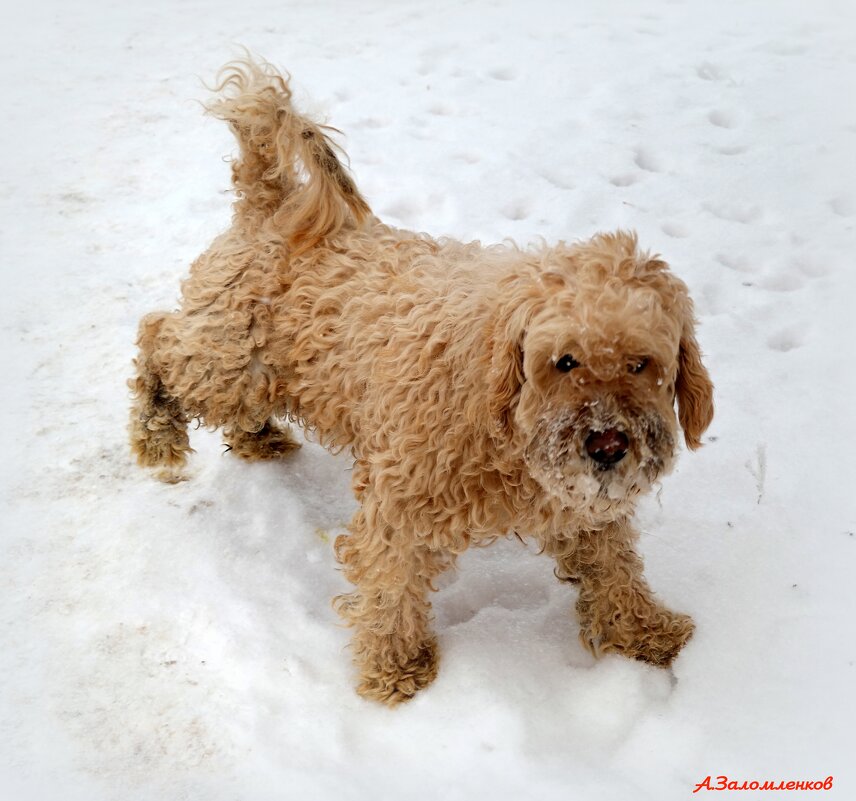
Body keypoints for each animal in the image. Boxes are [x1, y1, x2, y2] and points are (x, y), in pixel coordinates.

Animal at [129, 59, 716, 704]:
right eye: (564, 361)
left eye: (642, 363)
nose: (608, 445)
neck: (502, 411)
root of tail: (268, 202)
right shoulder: (402, 498)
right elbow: (392, 583)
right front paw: (394, 666)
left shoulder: (579, 505)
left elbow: (613, 566)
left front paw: (644, 629)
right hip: (224, 360)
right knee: (157, 337)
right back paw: (156, 433)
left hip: (252, 372)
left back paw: (257, 437)